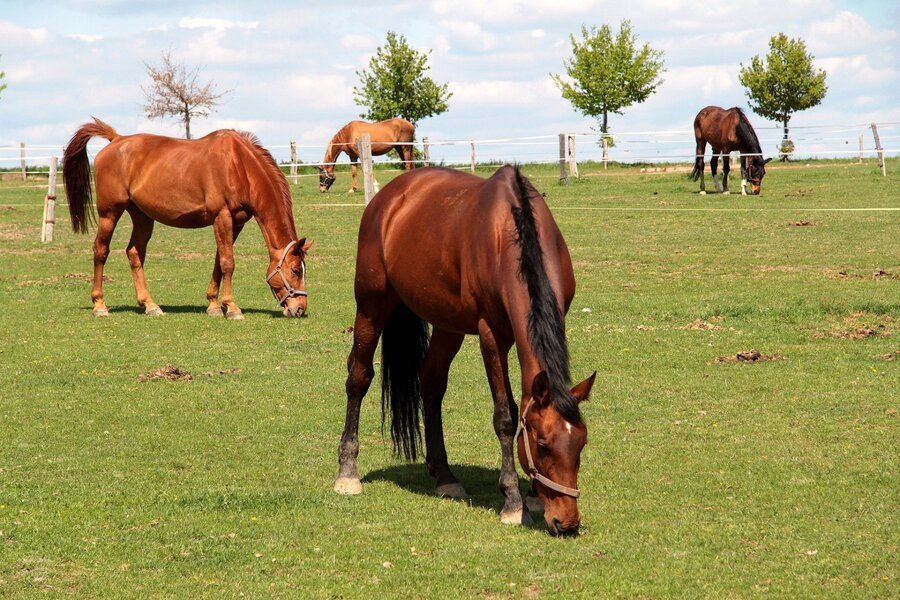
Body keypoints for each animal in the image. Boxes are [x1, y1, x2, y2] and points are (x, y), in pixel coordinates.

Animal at [61, 119, 312, 322]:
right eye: (295, 270)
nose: (300, 309)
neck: (239, 165)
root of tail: (116, 140)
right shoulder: (222, 217)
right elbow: (228, 263)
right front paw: (231, 308)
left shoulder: (236, 222)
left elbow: (219, 261)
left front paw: (213, 305)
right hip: (110, 213)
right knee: (100, 251)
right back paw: (100, 305)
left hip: (142, 217)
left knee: (134, 253)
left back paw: (150, 305)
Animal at [334, 165, 596, 540]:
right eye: (543, 444)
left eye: (581, 444)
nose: (568, 522)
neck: (511, 234)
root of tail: (388, 197)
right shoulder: (492, 336)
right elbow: (506, 416)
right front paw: (513, 501)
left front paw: (533, 497)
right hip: (371, 304)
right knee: (358, 376)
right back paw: (347, 471)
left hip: (448, 324)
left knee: (430, 382)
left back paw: (444, 477)